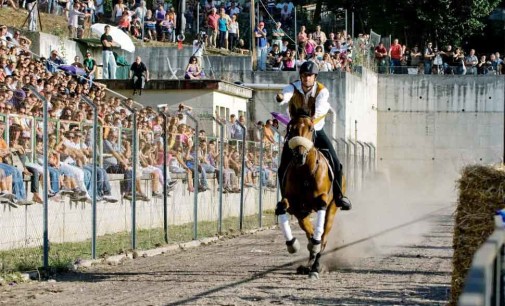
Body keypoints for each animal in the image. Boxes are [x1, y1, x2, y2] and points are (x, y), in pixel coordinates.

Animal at [276, 114, 338, 280]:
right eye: (291, 128)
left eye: (311, 128)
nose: (299, 155)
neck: (304, 172)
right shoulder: (295, 205)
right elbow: (281, 206)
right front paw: (292, 244)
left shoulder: (323, 200)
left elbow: (319, 234)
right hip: (302, 215)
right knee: (310, 233)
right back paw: (308, 263)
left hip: (332, 210)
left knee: (323, 238)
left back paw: (315, 267)